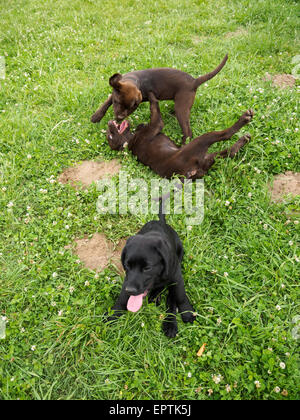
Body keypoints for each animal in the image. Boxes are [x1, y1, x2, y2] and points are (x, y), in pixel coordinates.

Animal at [106, 202, 197, 336]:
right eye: (127, 265)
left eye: (147, 268)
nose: (131, 290)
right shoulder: (127, 279)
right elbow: (122, 297)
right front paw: (114, 314)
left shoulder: (176, 276)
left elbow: (180, 295)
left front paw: (187, 312)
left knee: (171, 299)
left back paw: (170, 323)